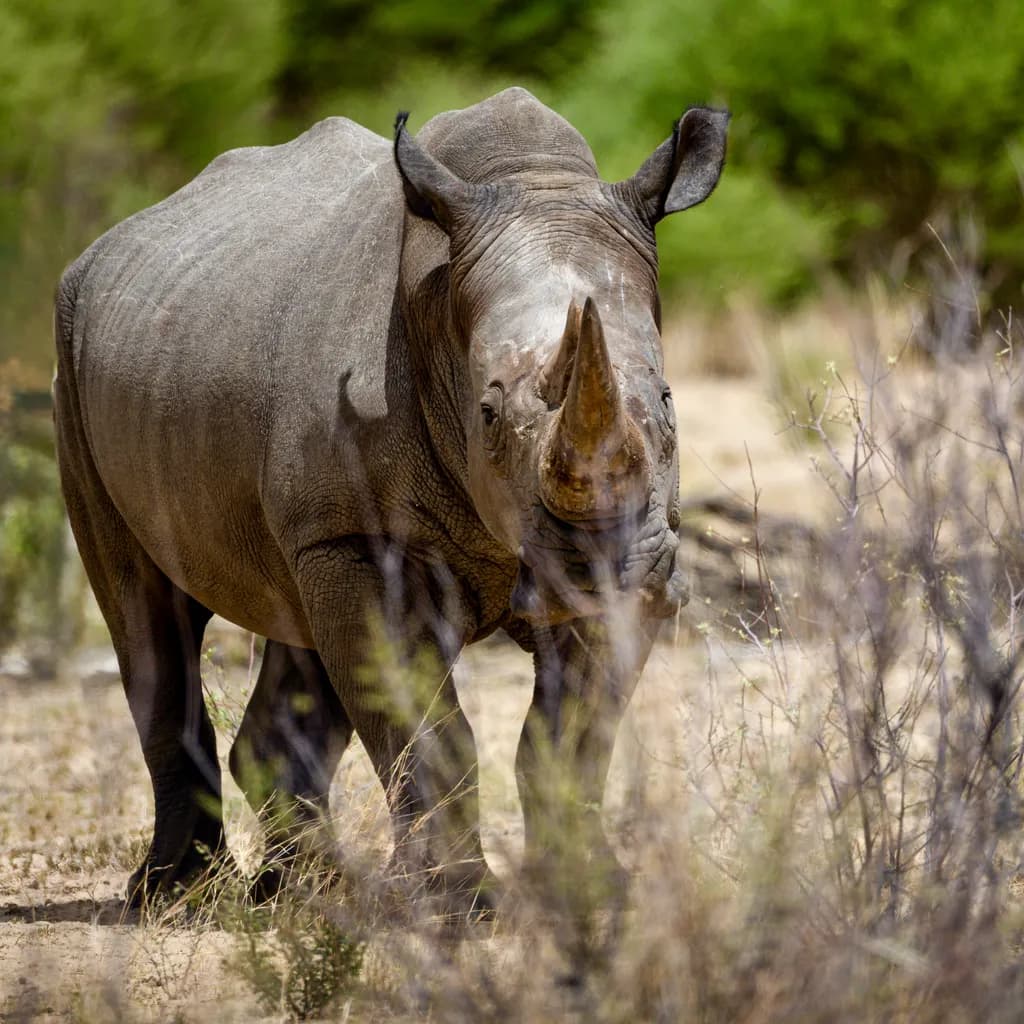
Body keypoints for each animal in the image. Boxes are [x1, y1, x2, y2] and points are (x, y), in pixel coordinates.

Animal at [53, 88, 728, 914]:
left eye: (666, 401)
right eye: (488, 413)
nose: (592, 556)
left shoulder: (634, 557)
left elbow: (568, 737)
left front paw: (592, 891)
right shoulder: (364, 541)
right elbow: (430, 728)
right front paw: (461, 907)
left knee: (294, 626)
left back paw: (302, 894)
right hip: (71, 355)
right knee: (144, 608)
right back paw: (181, 896)